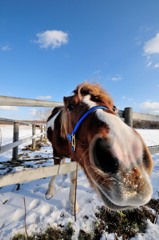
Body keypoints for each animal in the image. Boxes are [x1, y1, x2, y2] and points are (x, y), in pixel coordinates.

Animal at [45, 82, 153, 212]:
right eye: (70, 106)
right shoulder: (56, 153)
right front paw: (50, 192)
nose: (127, 156)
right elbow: (54, 172)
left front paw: (73, 204)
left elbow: (73, 179)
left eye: (114, 107)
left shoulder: (76, 158)